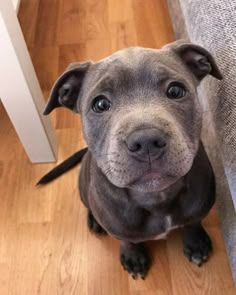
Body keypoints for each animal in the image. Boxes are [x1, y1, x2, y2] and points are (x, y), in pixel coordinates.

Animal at [38, 41, 221, 280]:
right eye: (100, 104)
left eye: (175, 90)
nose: (146, 140)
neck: (156, 197)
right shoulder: (119, 227)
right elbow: (127, 240)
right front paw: (133, 257)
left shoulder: (198, 207)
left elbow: (192, 223)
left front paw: (196, 243)